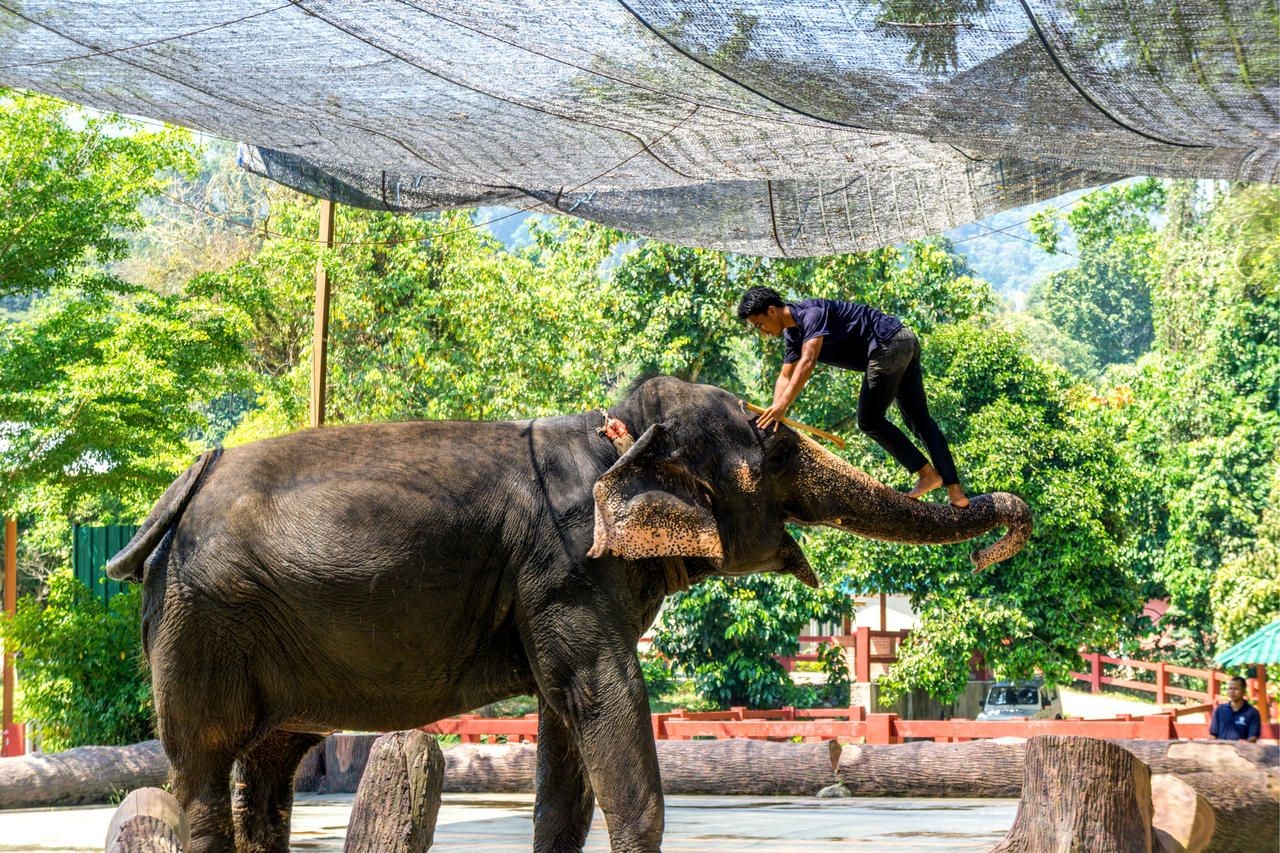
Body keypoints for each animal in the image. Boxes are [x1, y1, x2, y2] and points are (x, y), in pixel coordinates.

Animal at [107, 376, 1029, 845]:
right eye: (770, 445)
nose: (1007, 527)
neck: (610, 430)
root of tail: (178, 490)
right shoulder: (563, 570)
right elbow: (606, 701)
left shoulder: (553, 589)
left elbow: (566, 738)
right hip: (204, 619)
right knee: (204, 765)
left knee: (269, 765)